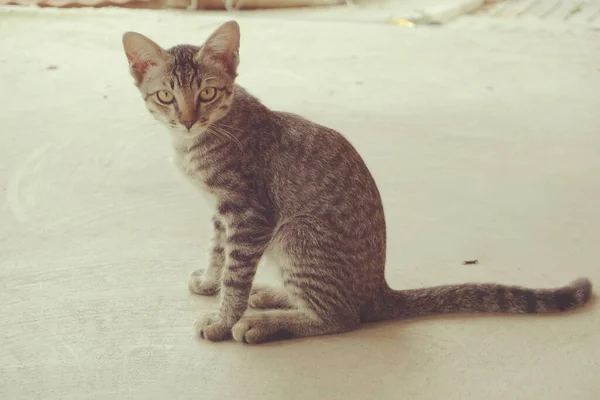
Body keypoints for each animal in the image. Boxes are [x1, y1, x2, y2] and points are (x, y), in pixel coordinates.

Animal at [120, 20, 592, 344]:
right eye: (166, 96)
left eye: (208, 93)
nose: (186, 120)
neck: (198, 142)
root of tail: (378, 290)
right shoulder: (222, 212)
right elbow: (219, 251)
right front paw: (210, 282)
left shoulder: (250, 213)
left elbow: (237, 272)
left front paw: (223, 318)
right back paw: (271, 296)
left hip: (296, 234)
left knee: (342, 317)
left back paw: (266, 323)